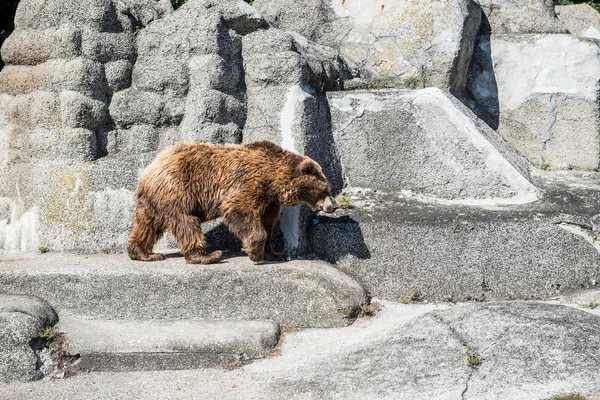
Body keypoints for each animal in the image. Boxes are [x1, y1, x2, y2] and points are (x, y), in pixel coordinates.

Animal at [127, 139, 338, 264]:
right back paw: (207, 255)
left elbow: (267, 224)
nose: (334, 205)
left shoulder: (270, 201)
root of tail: (149, 169)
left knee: (148, 226)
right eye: (325, 189)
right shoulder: (248, 183)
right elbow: (240, 212)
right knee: (186, 223)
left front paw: (278, 254)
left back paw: (145, 253)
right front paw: (254, 253)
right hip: (177, 190)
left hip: (154, 201)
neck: (272, 180)